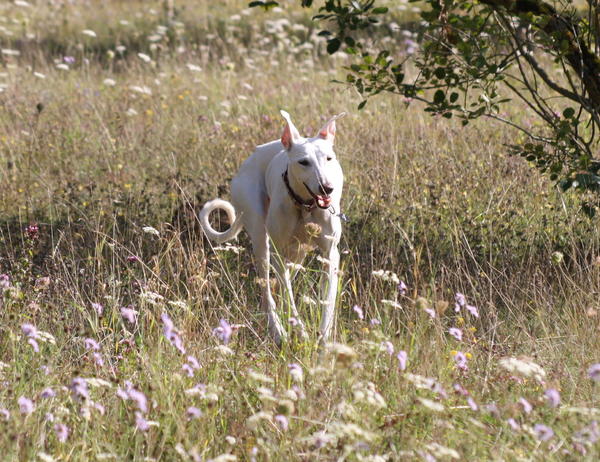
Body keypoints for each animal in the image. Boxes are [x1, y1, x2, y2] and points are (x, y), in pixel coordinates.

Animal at [199, 110, 344, 344]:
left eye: (329, 158)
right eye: (304, 162)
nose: (327, 188)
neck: (305, 206)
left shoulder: (330, 255)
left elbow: (327, 303)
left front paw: (323, 340)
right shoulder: (279, 253)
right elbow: (287, 295)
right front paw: (301, 332)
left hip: (298, 254)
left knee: (281, 284)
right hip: (262, 240)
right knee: (268, 290)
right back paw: (277, 330)